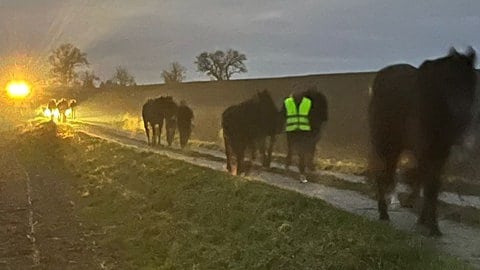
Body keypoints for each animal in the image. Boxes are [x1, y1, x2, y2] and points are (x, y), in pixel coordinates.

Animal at [368, 47, 476, 236]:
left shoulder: (440, 154)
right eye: (450, 81)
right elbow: (429, 184)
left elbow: (432, 186)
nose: (463, 115)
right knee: (383, 175)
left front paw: (426, 222)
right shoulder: (425, 151)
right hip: (389, 147)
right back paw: (383, 213)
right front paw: (431, 225)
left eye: (470, 81)